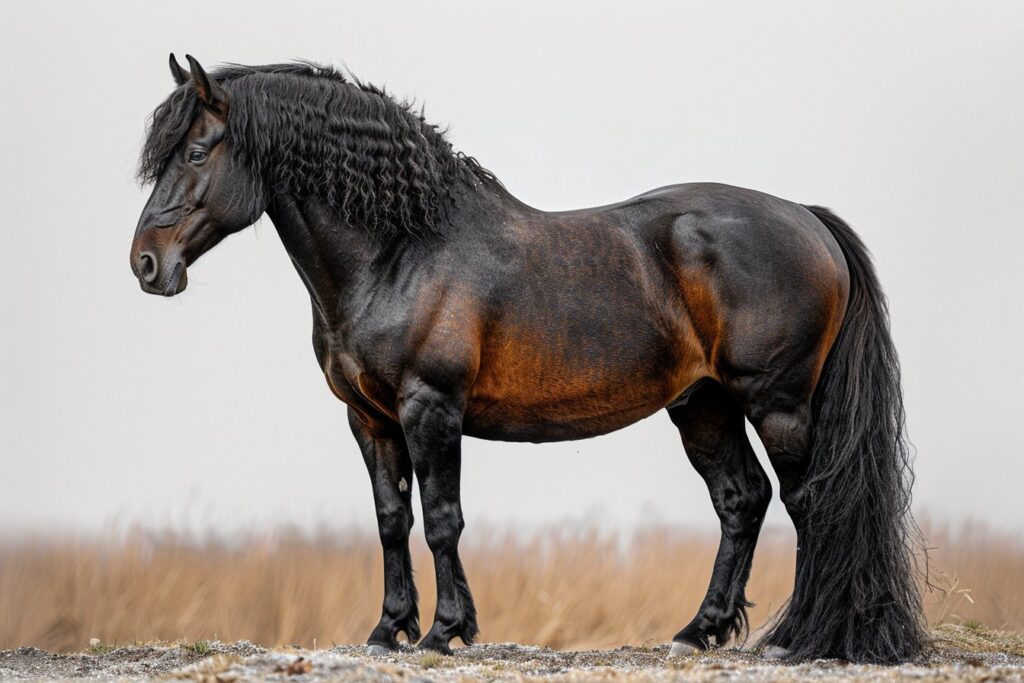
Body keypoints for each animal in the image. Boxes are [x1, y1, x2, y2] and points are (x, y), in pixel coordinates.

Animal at [130, 55, 925, 664]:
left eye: (196, 152)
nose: (145, 263)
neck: (400, 252)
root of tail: (806, 218)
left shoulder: (430, 408)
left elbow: (441, 518)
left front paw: (446, 631)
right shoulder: (369, 419)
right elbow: (390, 519)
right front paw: (389, 629)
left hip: (777, 402)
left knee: (810, 501)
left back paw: (806, 638)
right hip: (703, 405)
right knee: (742, 500)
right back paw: (699, 631)